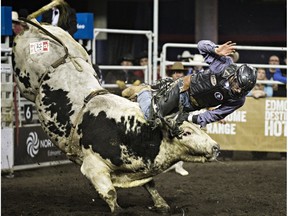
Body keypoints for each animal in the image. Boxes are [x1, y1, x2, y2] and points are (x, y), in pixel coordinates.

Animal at [11, 16, 218, 213]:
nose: (216, 147)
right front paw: (120, 209)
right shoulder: (93, 166)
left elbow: (150, 185)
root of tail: (37, 26)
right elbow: (110, 193)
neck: (133, 130)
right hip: (25, 81)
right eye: (187, 132)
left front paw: (161, 204)